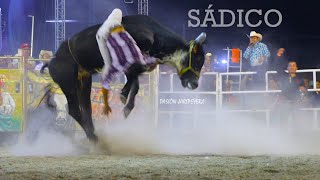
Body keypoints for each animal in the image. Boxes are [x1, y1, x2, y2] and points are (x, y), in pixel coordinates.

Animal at [43, 14, 206, 143]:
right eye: (198, 60)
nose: (195, 84)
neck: (154, 36)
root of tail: (53, 60)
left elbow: (135, 83)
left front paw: (125, 100)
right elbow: (135, 78)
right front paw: (124, 97)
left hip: (84, 80)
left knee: (86, 109)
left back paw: (94, 136)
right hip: (67, 81)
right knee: (75, 110)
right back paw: (95, 139)